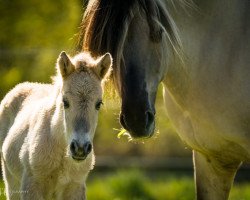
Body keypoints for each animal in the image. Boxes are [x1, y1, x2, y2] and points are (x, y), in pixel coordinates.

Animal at [0, 50, 112, 199]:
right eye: (65, 102)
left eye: (99, 104)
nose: (80, 148)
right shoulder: (31, 185)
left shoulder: (75, 186)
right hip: (11, 182)